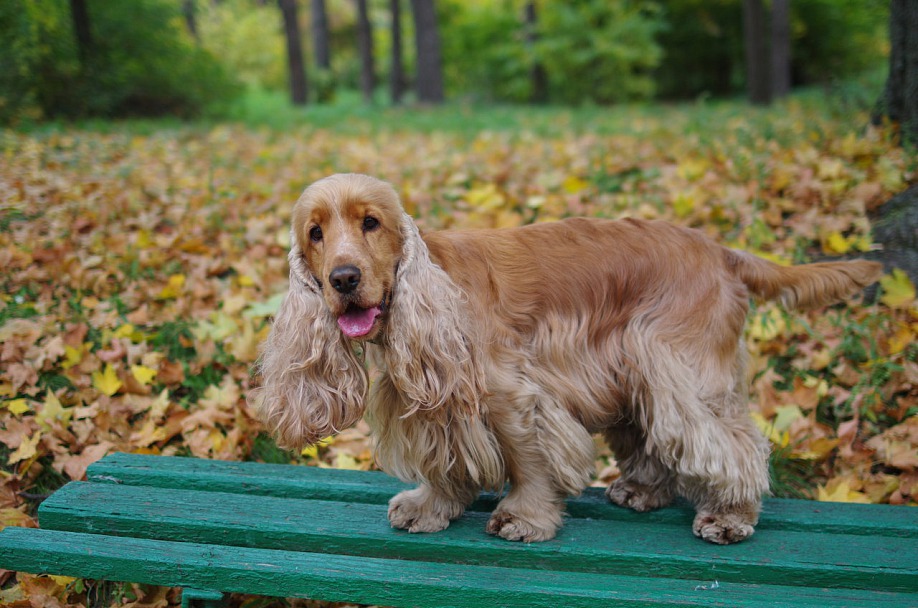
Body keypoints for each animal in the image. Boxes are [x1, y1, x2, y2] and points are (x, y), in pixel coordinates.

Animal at [252, 173, 884, 544]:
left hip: (679, 368)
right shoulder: (438, 397)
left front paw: (524, 518)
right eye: (314, 233)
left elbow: (527, 461)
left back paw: (731, 515)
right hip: (636, 371)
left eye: (371, 223)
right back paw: (643, 491)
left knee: (732, 443)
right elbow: (445, 462)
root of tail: (721, 251)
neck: (430, 288)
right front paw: (431, 506)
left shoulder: (511, 392)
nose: (343, 278)